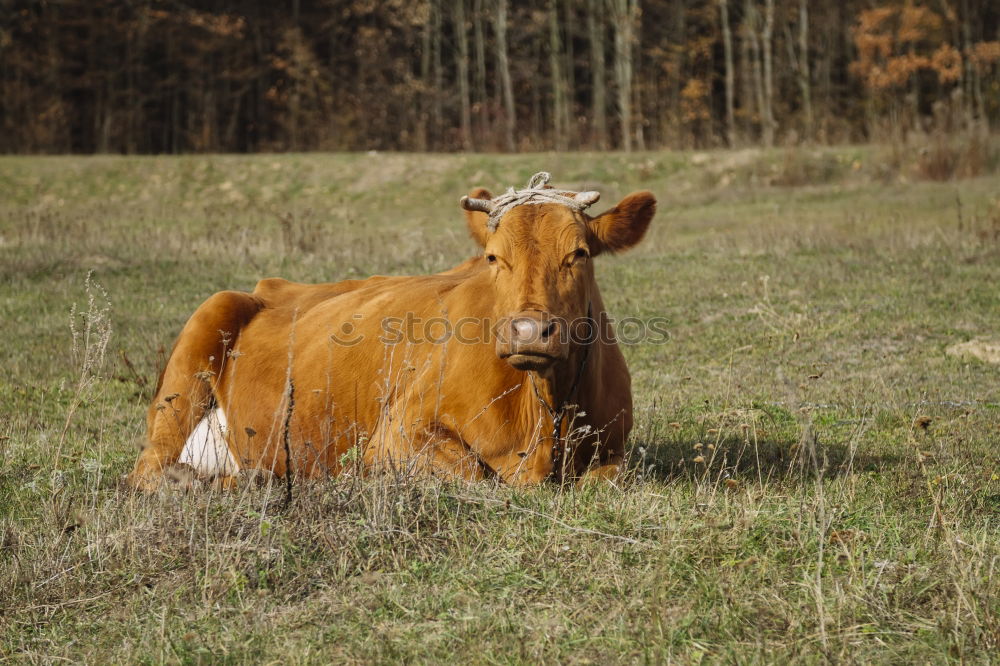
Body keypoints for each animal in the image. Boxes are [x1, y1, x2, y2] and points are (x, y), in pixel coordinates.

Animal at [127, 174, 656, 490]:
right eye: (492, 257)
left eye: (578, 254)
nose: (529, 331)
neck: (543, 411)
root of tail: (270, 285)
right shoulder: (396, 435)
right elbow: (474, 474)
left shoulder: (617, 448)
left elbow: (610, 476)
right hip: (197, 344)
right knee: (151, 471)